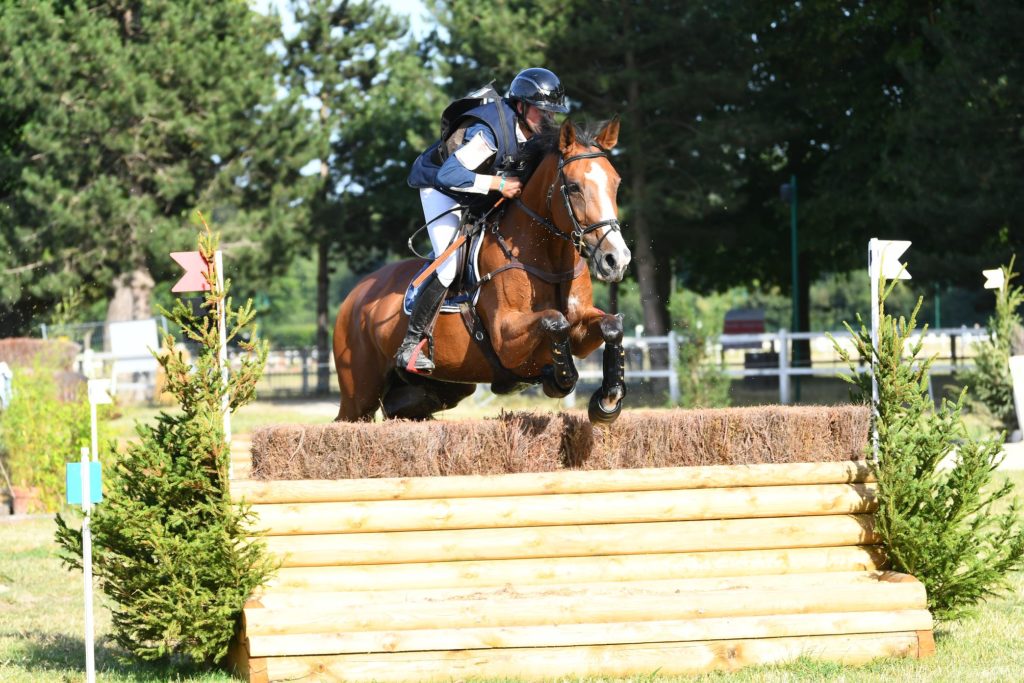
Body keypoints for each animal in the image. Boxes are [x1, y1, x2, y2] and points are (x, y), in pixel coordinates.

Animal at [331, 118, 630, 421]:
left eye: (616, 183)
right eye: (574, 187)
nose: (616, 259)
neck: (548, 259)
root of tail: (355, 296)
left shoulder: (580, 327)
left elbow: (612, 325)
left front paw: (609, 398)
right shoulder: (506, 337)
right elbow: (555, 321)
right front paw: (559, 379)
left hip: (437, 388)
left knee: (400, 407)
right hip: (359, 395)